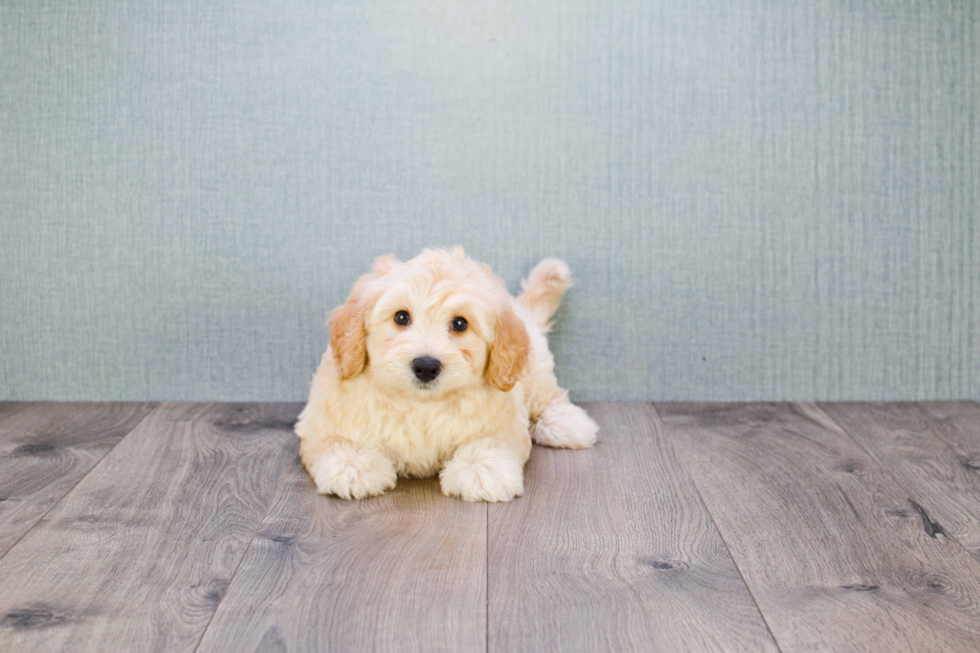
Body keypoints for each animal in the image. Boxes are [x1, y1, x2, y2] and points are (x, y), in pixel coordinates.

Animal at [294, 247, 596, 502]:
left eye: (460, 323)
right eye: (401, 317)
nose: (426, 366)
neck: (420, 403)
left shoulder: (503, 418)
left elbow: (490, 441)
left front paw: (481, 470)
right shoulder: (327, 417)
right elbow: (337, 441)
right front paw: (352, 466)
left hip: (532, 375)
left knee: (549, 396)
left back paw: (568, 424)